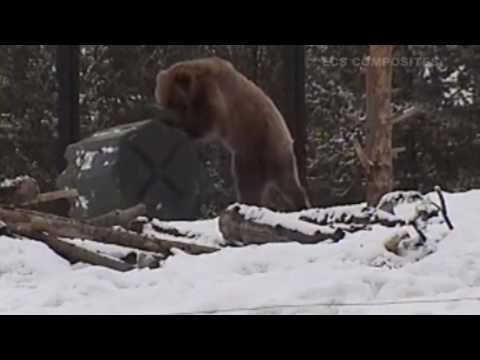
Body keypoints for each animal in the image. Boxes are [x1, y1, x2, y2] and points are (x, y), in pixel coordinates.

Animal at [155, 57, 312, 212]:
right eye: (165, 101)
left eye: (175, 102)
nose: (170, 115)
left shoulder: (212, 94)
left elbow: (208, 121)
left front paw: (181, 126)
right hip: (247, 159)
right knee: (249, 185)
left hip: (267, 144)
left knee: (285, 180)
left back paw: (301, 203)